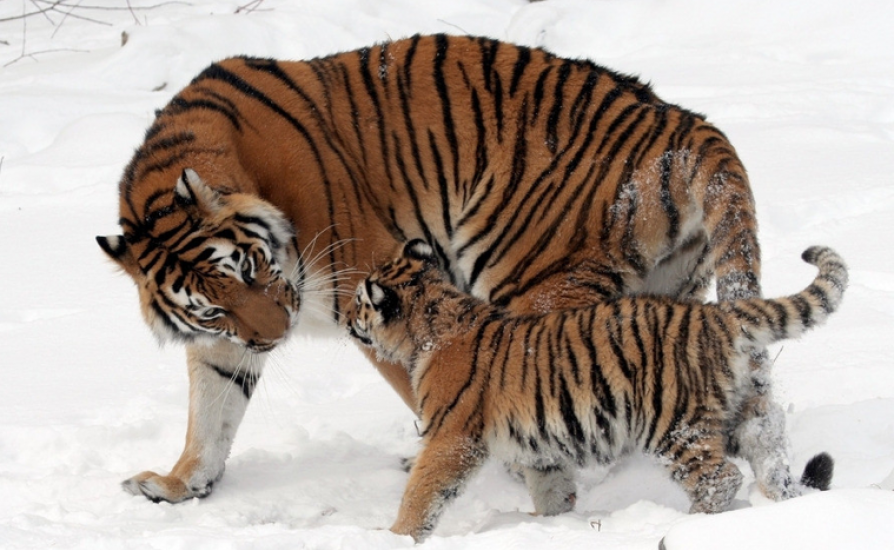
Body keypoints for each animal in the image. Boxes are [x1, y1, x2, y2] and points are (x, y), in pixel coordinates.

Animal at [96, 33, 784, 508]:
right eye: (212, 306)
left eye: (251, 267)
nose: (276, 335)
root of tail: (684, 123)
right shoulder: (225, 340)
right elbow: (211, 411)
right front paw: (179, 484)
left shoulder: (371, 286)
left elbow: (425, 384)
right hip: (671, 296)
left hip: (533, 282)